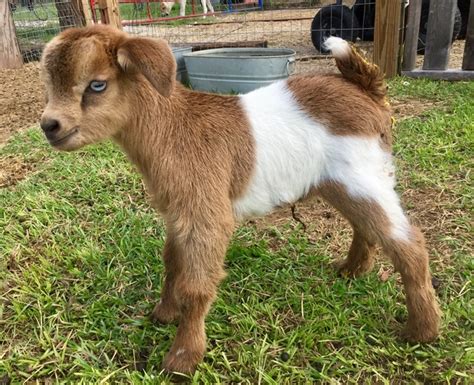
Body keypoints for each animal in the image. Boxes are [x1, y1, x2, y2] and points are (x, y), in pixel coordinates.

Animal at [39, 26, 440, 376]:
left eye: (97, 85)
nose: (49, 125)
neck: (172, 129)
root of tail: (366, 88)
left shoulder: (206, 211)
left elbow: (195, 286)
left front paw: (182, 358)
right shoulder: (178, 211)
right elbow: (172, 263)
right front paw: (163, 313)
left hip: (363, 175)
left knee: (409, 243)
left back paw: (422, 331)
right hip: (341, 181)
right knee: (364, 225)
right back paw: (351, 271)